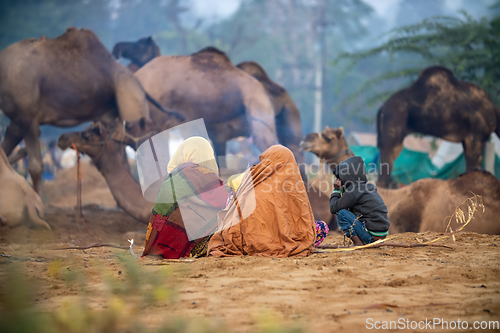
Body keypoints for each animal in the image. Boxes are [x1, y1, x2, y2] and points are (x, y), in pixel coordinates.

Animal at [0, 27, 182, 192]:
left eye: (140, 45)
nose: (118, 48)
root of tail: (138, 85)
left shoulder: (27, 116)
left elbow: (35, 166)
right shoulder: (19, 119)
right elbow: (7, 153)